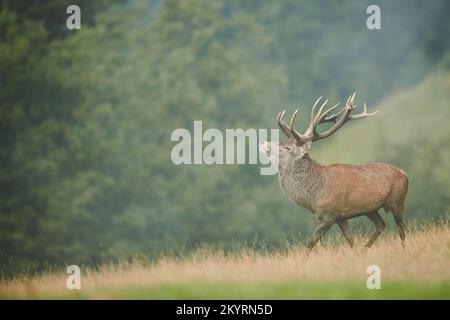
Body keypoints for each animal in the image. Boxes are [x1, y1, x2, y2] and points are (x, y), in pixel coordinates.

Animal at [258, 92, 410, 250]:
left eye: (287, 147)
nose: (262, 142)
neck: (314, 194)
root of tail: (405, 174)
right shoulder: (341, 217)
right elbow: (351, 240)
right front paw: (355, 252)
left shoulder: (330, 215)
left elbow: (310, 242)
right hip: (371, 209)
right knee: (381, 225)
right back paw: (364, 250)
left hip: (398, 200)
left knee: (402, 227)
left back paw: (402, 248)